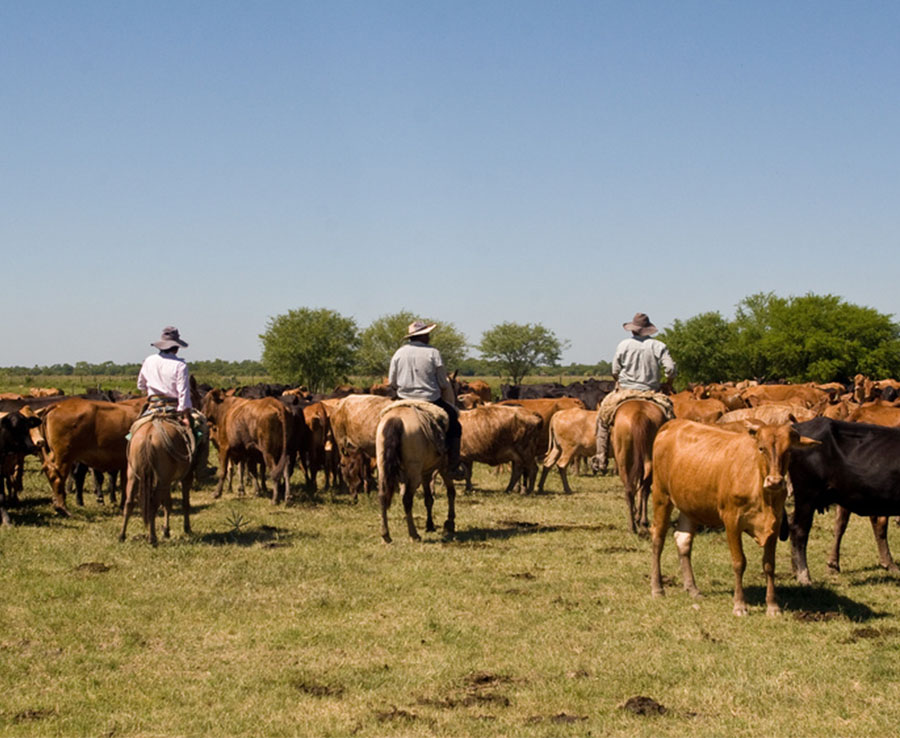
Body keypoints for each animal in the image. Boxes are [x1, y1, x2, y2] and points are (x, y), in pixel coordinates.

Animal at [119, 416, 199, 544]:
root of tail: (148, 436)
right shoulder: (186, 477)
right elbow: (185, 503)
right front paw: (187, 528)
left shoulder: (168, 480)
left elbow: (167, 503)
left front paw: (166, 531)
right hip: (161, 480)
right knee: (153, 505)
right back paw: (152, 538)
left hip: (133, 475)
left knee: (129, 502)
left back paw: (122, 535)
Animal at [374, 398, 458, 544]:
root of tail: (396, 419)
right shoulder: (443, 468)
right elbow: (450, 492)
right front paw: (449, 522)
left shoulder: (426, 472)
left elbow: (429, 499)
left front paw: (430, 525)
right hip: (414, 473)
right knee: (407, 499)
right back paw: (413, 534)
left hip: (383, 468)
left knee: (383, 496)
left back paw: (386, 535)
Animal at [612, 398, 668, 532]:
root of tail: (639, 414)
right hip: (650, 460)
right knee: (644, 489)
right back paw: (642, 521)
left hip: (623, 462)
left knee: (630, 490)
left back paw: (633, 526)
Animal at [652, 420, 820, 616]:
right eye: (761, 448)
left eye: (789, 450)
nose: (775, 481)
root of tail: (673, 423)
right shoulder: (731, 521)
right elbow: (739, 562)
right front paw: (740, 605)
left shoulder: (775, 524)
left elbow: (769, 565)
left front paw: (772, 606)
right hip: (661, 496)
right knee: (658, 539)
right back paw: (658, 588)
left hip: (689, 504)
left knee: (683, 540)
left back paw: (692, 589)